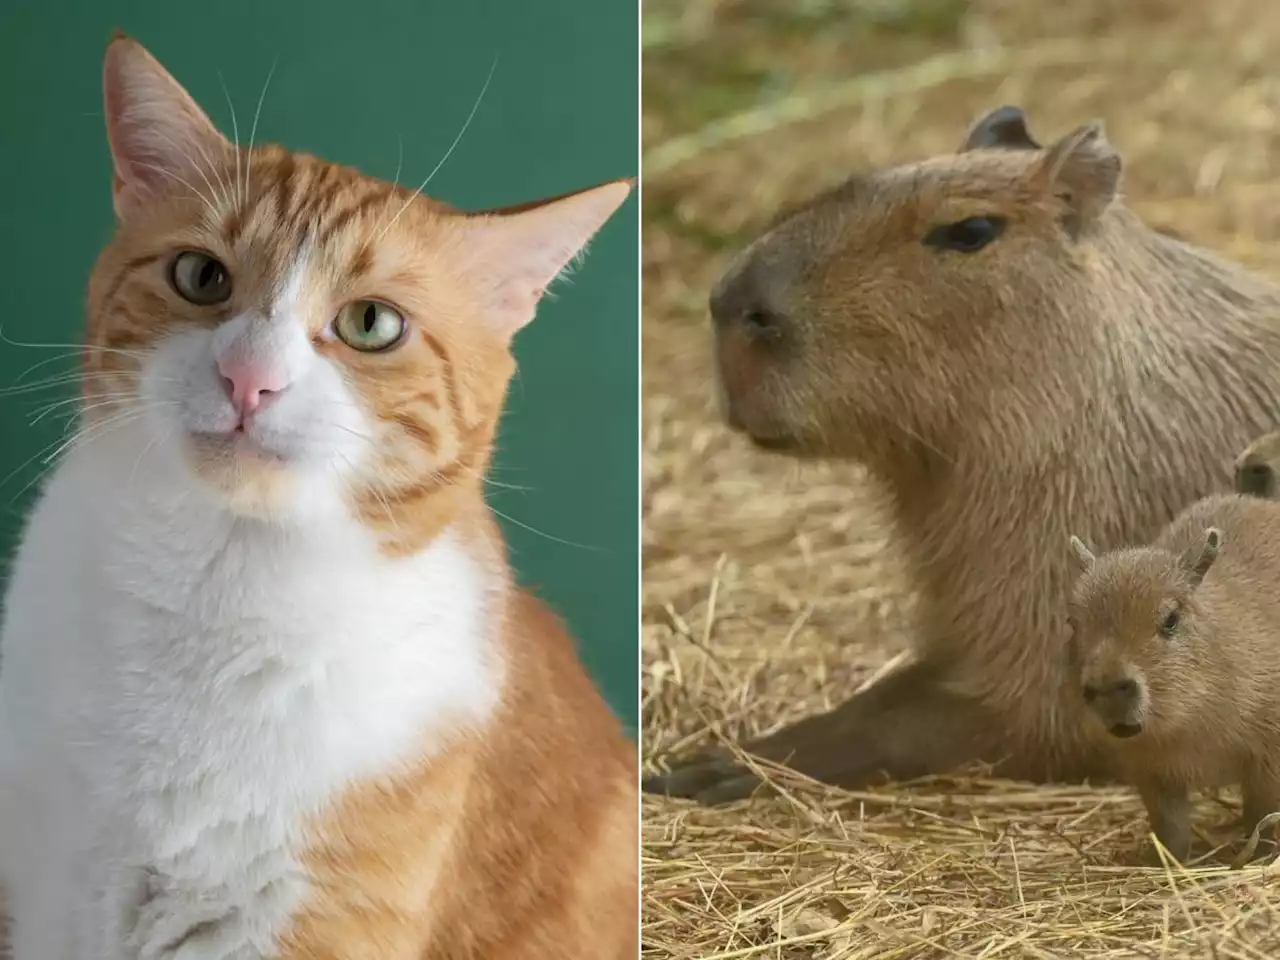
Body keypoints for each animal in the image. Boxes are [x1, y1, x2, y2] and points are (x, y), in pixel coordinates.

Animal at [0, 32, 634, 960]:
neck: (221, 590)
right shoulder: (44, 894)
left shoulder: (316, 918)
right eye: (200, 277)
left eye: (372, 324)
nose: (249, 377)